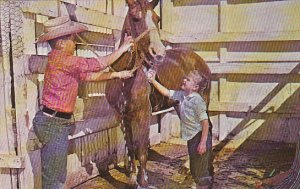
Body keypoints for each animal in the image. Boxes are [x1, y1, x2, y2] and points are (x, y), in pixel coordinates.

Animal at [105, 0, 211, 187]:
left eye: (157, 18)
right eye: (135, 17)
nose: (159, 53)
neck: (125, 78)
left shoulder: (143, 114)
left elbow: (141, 148)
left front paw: (144, 181)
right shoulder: (123, 116)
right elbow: (130, 147)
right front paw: (132, 178)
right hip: (179, 105)